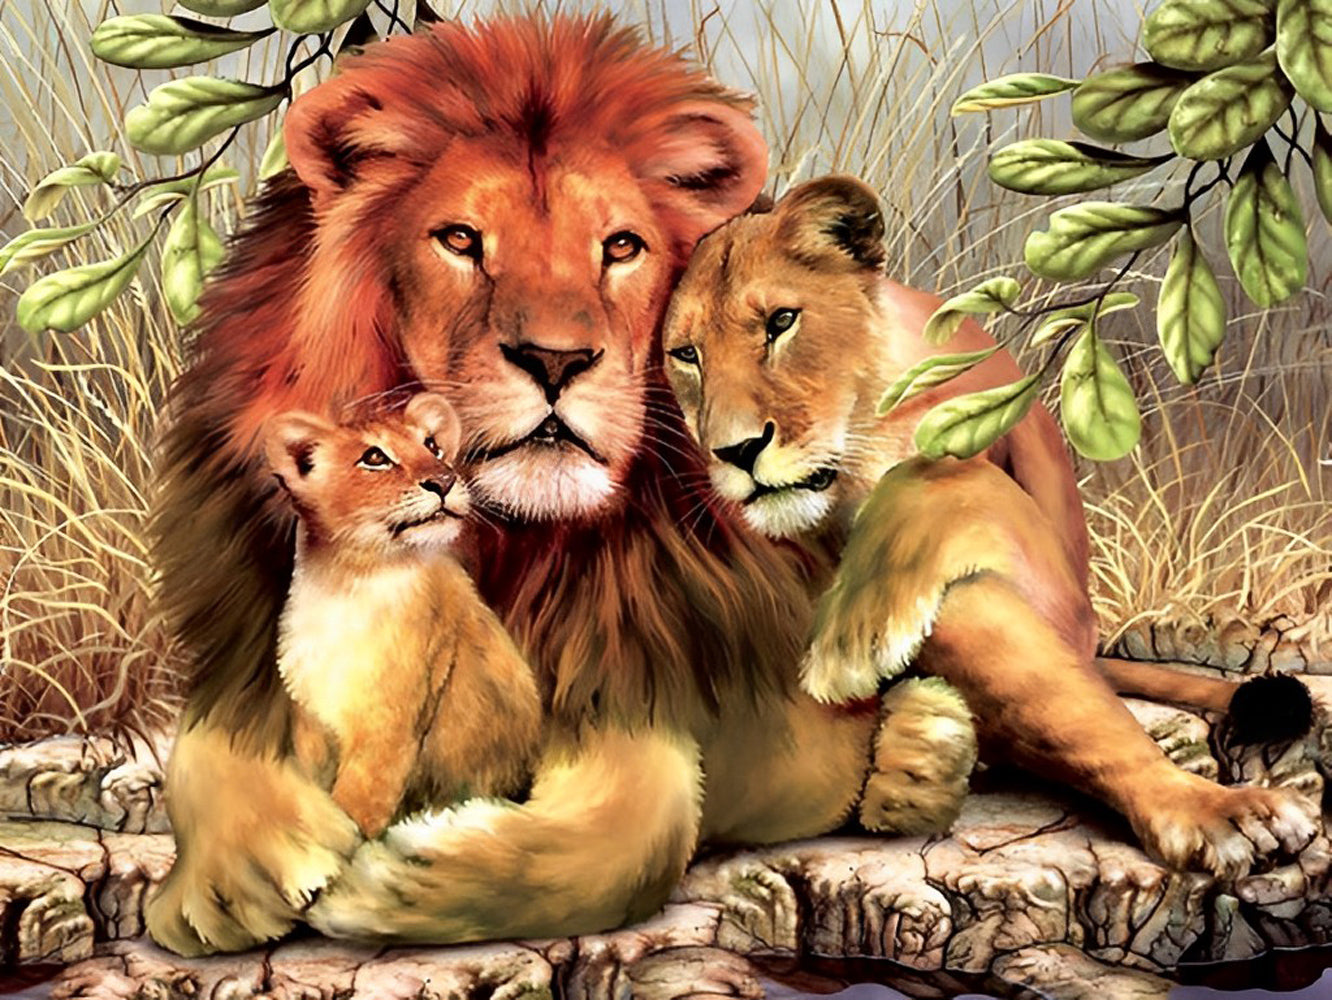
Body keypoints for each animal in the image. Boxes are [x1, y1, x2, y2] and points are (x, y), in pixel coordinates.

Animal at [661, 174, 1319, 878]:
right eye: (687, 355)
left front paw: (851, 643)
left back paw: (1215, 811)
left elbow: (939, 471)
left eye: (782, 322)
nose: (736, 451)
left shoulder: (1053, 575)